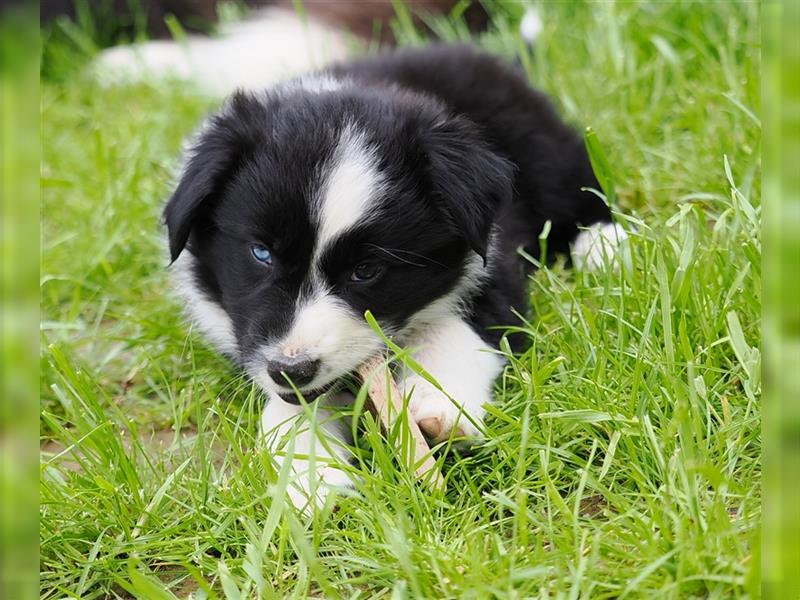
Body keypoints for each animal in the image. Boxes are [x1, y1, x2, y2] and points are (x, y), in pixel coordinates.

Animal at [166, 43, 628, 506]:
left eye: (366, 270)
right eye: (261, 253)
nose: (291, 370)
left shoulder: (494, 261)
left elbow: (458, 327)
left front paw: (440, 406)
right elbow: (297, 404)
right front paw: (306, 472)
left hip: (542, 146)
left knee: (578, 187)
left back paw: (606, 246)